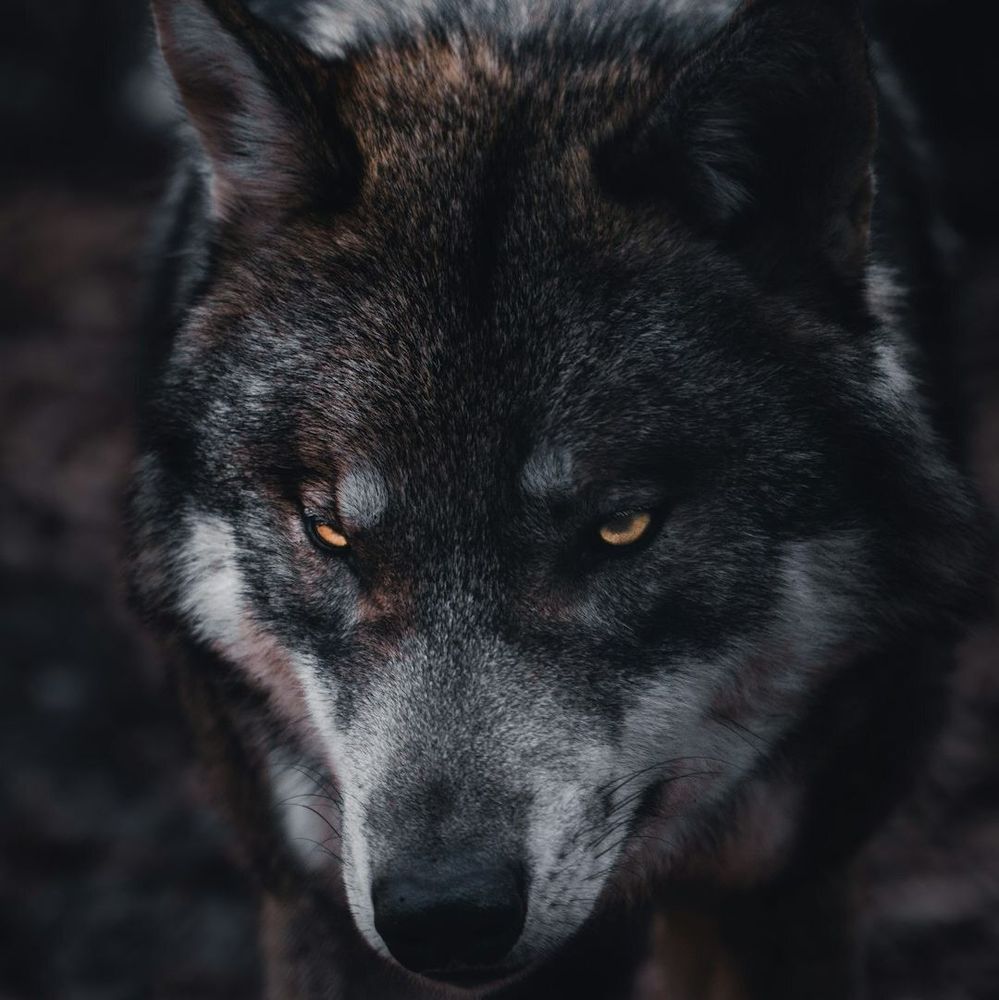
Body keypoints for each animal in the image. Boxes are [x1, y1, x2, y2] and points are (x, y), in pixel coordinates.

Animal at [130, 0, 990, 996]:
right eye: (330, 534)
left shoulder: (786, 885)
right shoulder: (310, 895)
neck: (521, 40)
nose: (442, 911)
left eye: (622, 528)